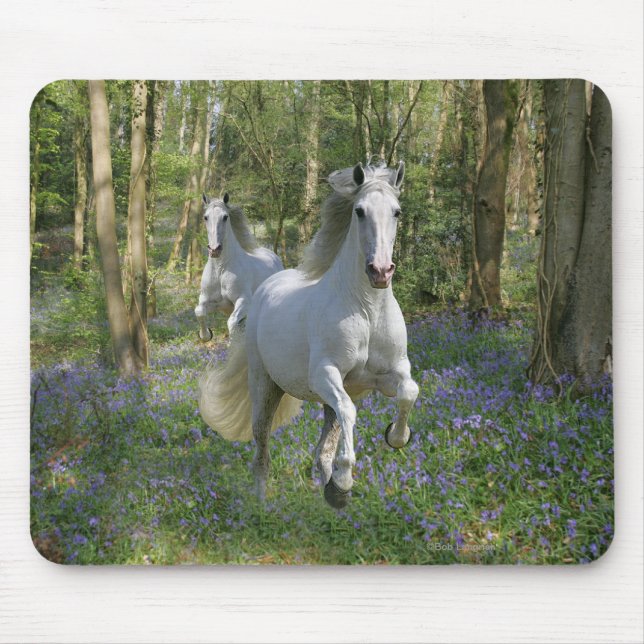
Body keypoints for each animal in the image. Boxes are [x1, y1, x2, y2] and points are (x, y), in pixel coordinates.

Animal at [195, 193, 283, 340]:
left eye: (225, 217)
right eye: (205, 217)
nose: (215, 250)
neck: (220, 270)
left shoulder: (244, 300)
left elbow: (232, 324)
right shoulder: (210, 301)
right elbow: (199, 311)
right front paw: (206, 335)